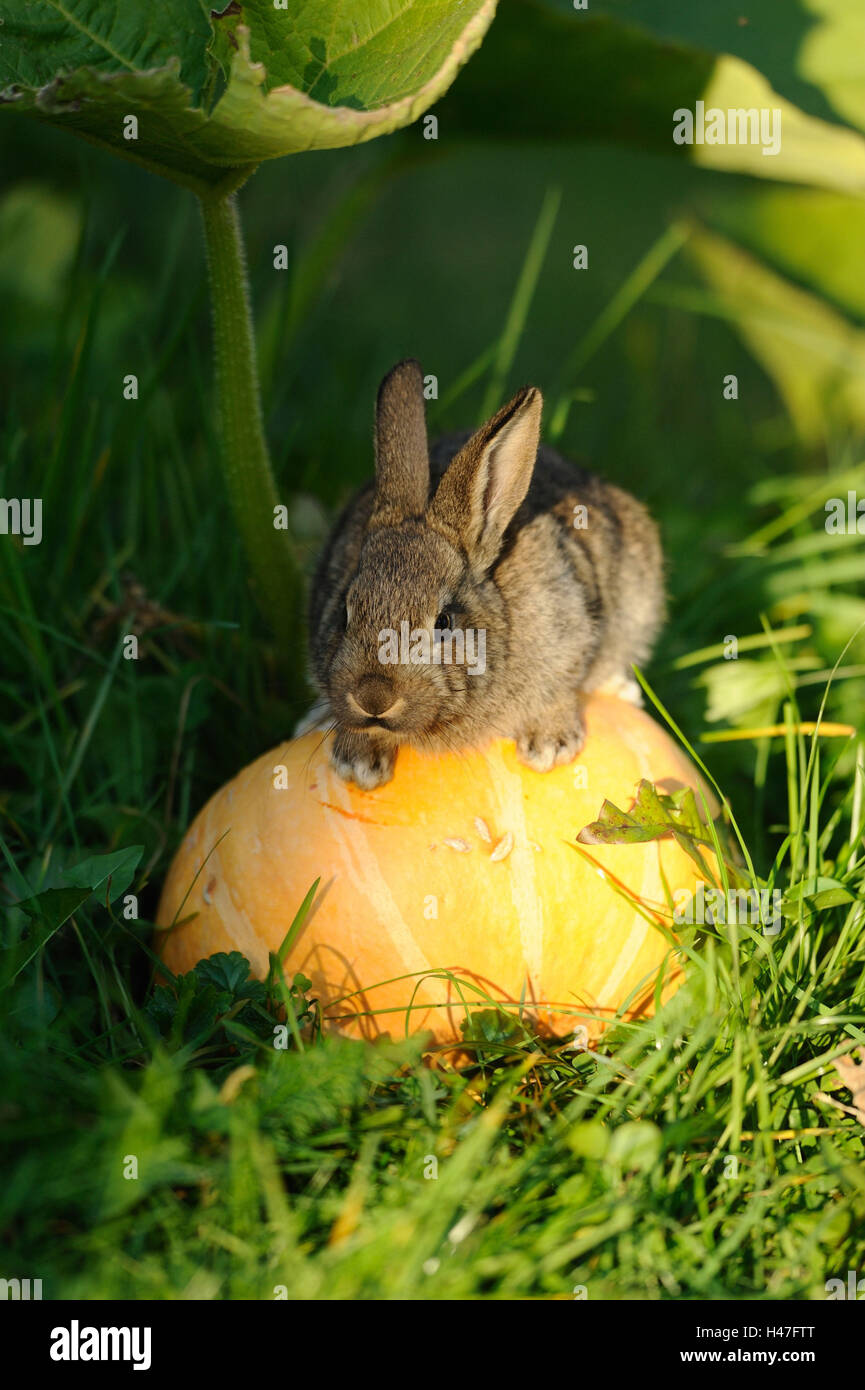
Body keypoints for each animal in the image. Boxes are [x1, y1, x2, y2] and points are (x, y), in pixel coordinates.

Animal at [306, 358, 664, 789]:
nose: (373, 698)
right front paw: (357, 757)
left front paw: (549, 744)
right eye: (344, 612)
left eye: (444, 621)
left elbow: (558, 685)